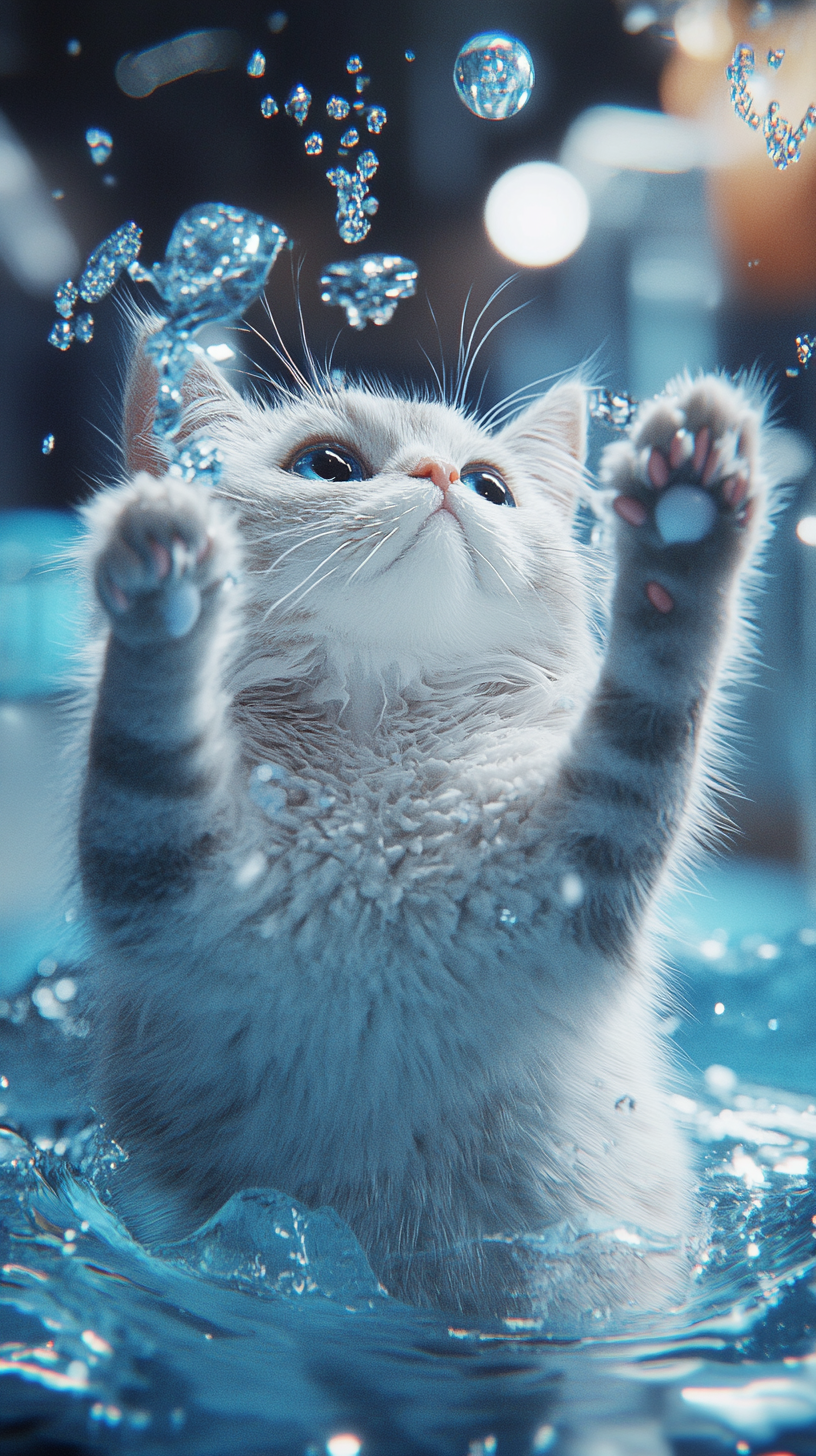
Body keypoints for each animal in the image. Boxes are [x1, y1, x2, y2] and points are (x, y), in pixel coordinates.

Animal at [77, 340, 769, 1322]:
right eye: (327, 466)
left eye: (490, 486)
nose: (442, 479)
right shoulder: (148, 861)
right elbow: (146, 726)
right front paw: (164, 588)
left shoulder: (593, 851)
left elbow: (658, 687)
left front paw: (688, 523)